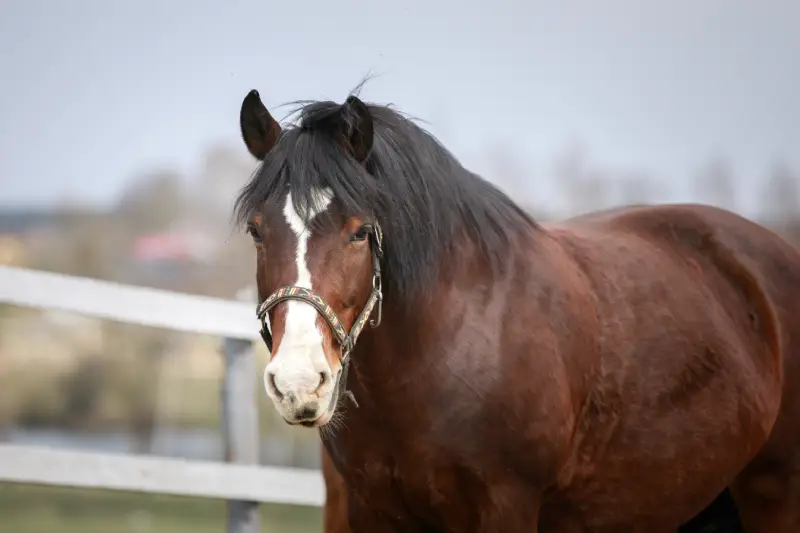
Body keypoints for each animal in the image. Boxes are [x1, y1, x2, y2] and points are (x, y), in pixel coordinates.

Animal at [233, 87, 800, 532]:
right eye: (257, 231)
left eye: (359, 232)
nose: (298, 383)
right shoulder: (372, 513)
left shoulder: (506, 505)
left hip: (774, 494)